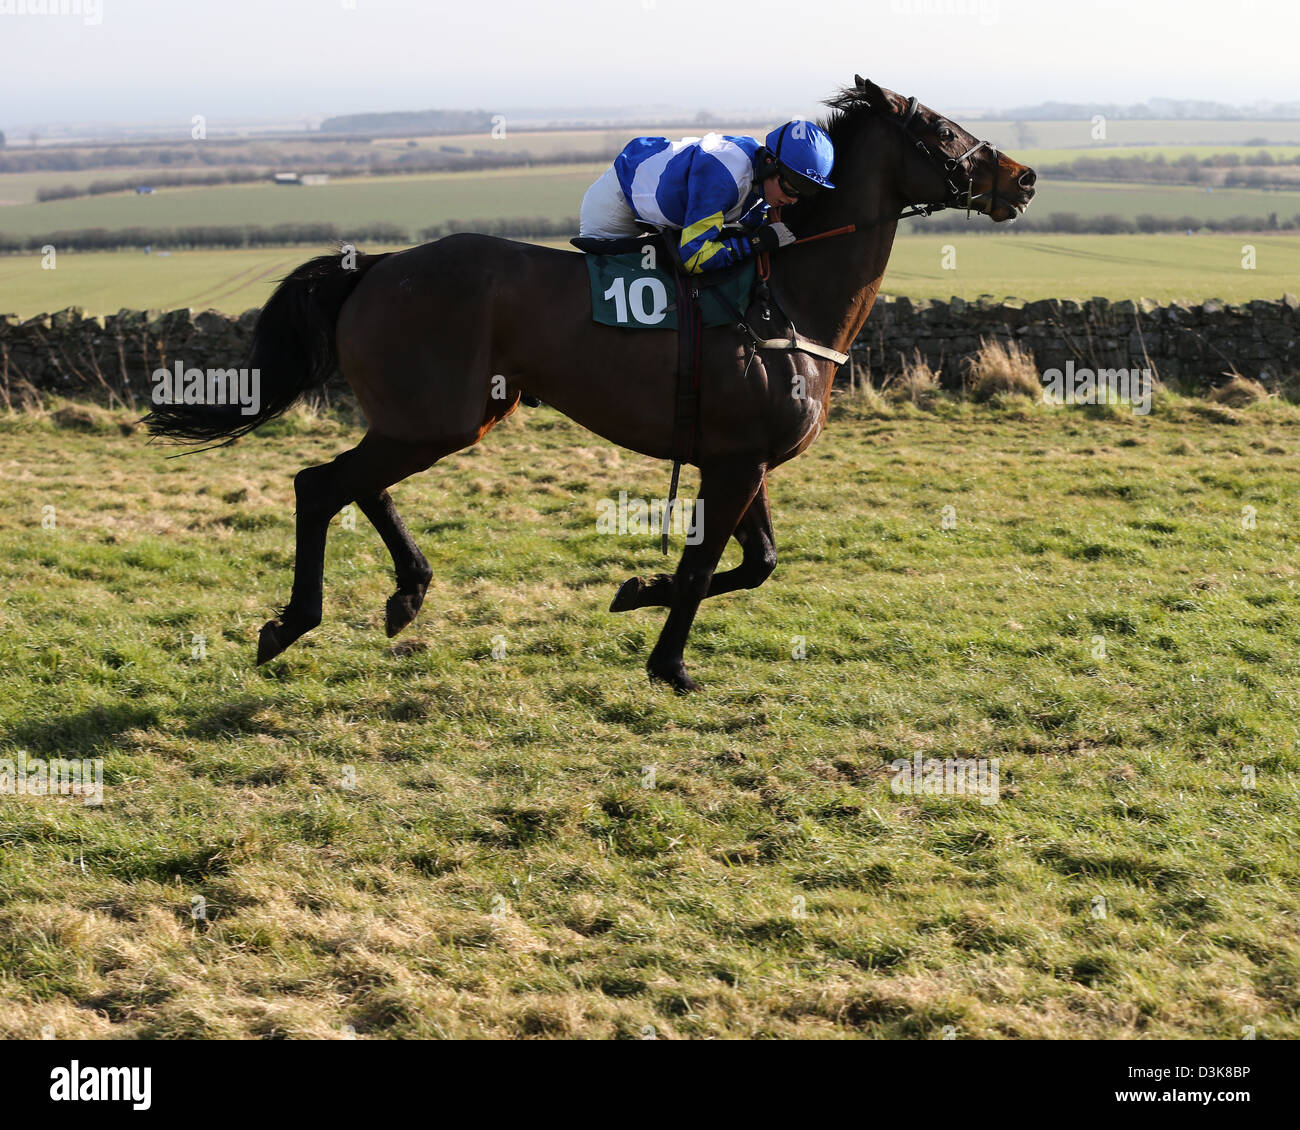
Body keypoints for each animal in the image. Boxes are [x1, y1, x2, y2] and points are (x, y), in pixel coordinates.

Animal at [144, 75, 1034, 691]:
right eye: (945, 130)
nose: (1023, 179)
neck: (785, 294)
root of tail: (378, 267)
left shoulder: (741, 459)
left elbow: (757, 563)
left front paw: (637, 589)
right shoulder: (735, 460)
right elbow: (708, 565)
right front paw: (669, 664)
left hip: (445, 417)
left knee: (353, 484)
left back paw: (406, 594)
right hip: (435, 418)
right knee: (319, 484)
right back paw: (295, 622)